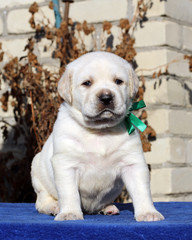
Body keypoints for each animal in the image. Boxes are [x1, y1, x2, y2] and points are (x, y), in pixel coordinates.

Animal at [30, 51, 164, 222]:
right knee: (42, 201)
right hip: (38, 174)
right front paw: (70, 213)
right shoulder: (66, 164)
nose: (106, 97)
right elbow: (69, 193)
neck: (100, 131)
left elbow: (141, 190)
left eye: (118, 81)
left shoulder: (133, 163)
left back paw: (108, 208)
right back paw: (54, 207)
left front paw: (148, 212)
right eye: (87, 83)